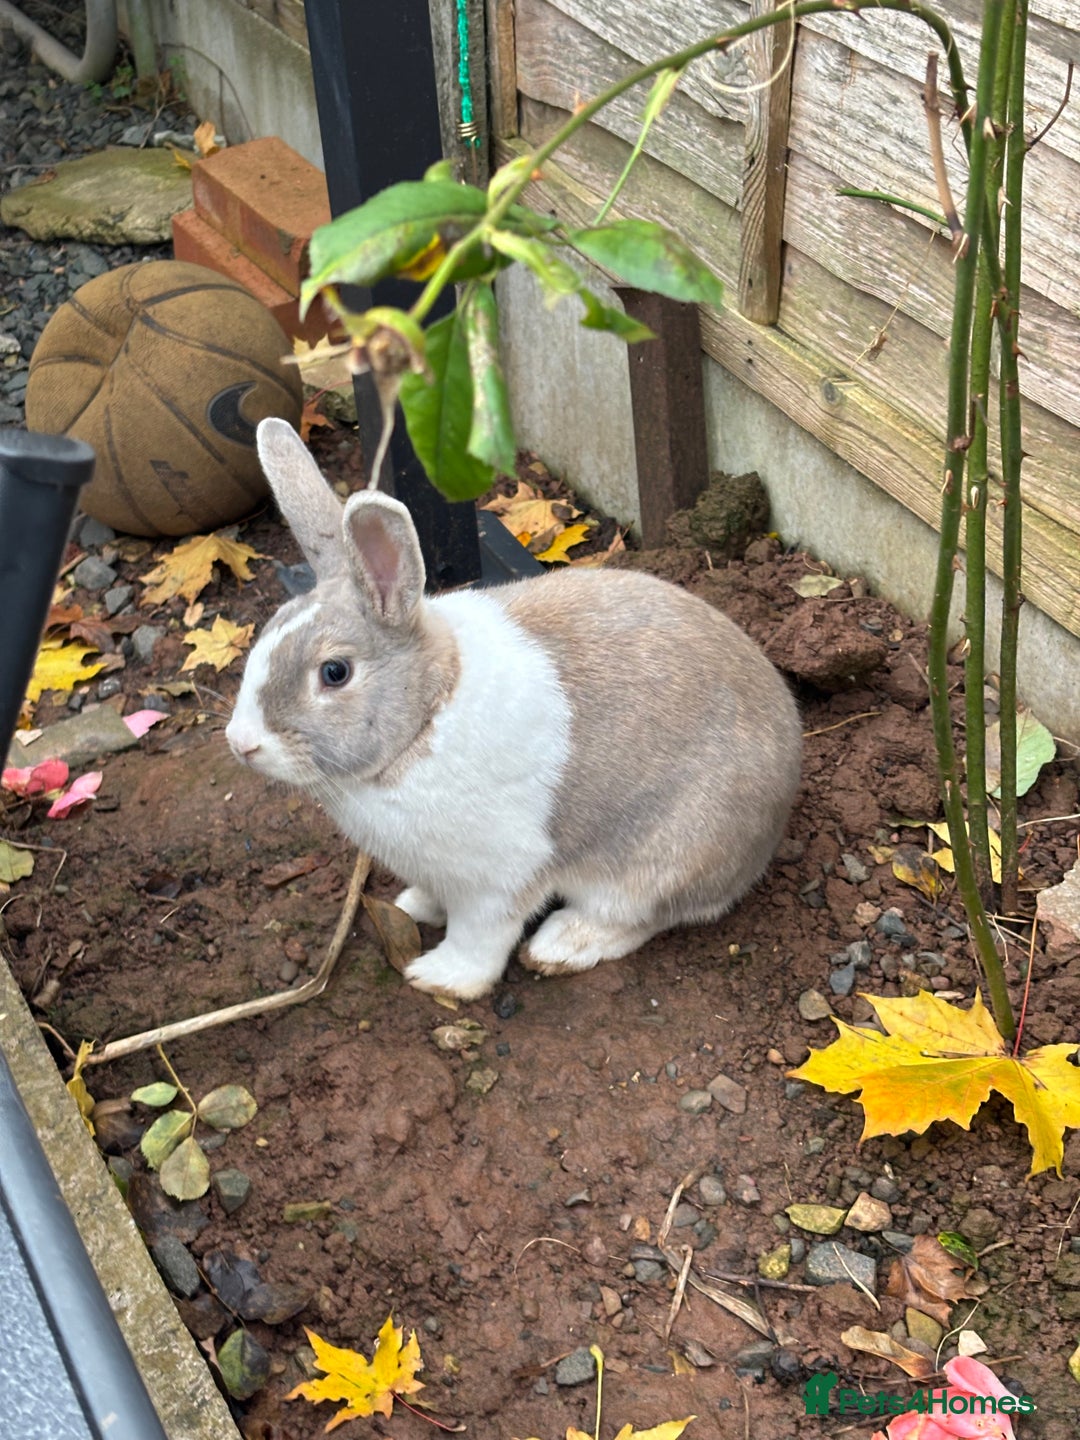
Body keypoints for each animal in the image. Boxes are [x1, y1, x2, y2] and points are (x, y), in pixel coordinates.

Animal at [226, 418, 802, 1001]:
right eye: (268, 631)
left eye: (334, 672)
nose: (241, 742)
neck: (428, 715)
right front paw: (414, 905)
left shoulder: (493, 881)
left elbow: (480, 938)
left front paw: (440, 977)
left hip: (659, 862)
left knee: (640, 917)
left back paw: (560, 946)